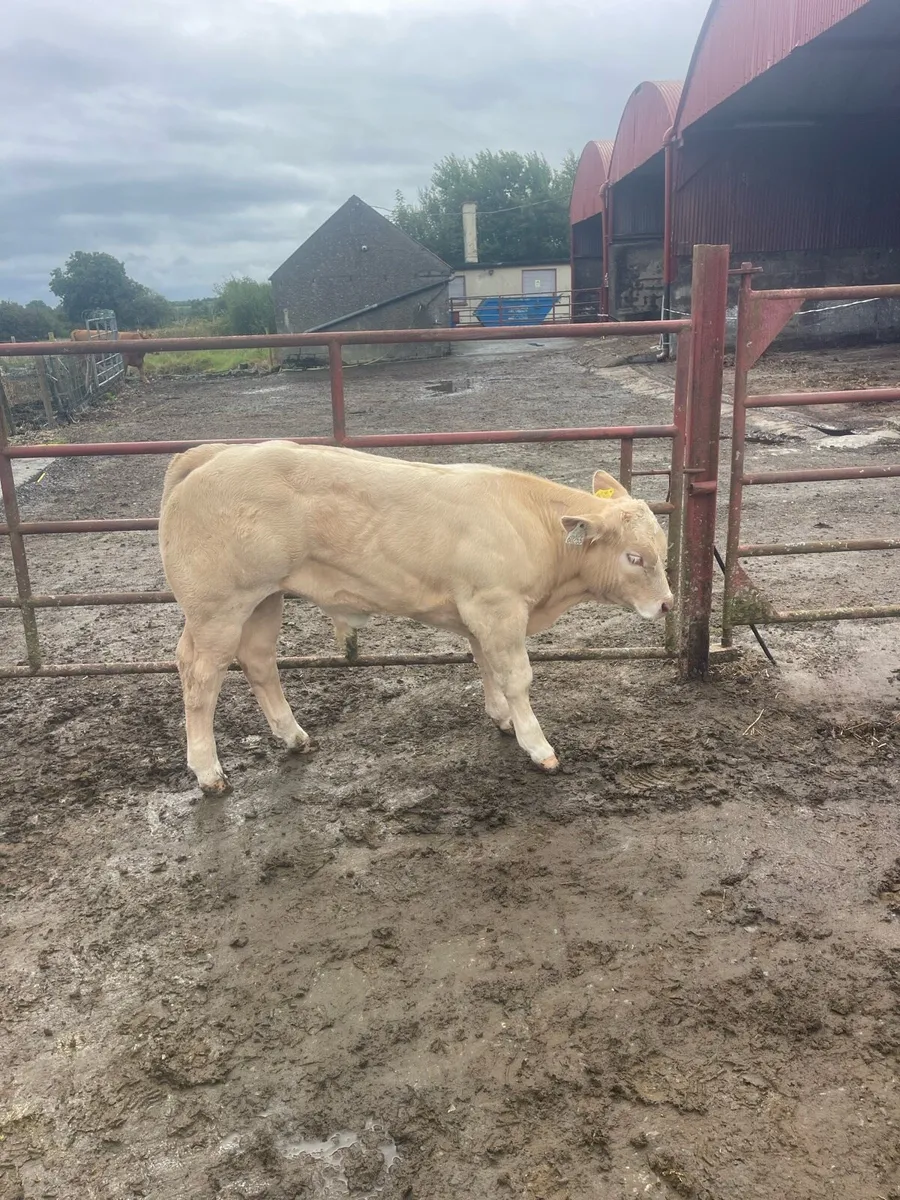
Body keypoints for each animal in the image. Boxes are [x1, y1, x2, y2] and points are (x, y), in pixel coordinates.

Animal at [158, 442, 674, 794]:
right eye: (634, 557)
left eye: (663, 548)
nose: (668, 603)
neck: (529, 525)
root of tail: (216, 452)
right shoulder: (498, 605)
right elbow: (516, 676)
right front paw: (537, 745)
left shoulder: (478, 612)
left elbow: (487, 667)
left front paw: (502, 718)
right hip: (218, 608)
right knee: (200, 677)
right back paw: (208, 771)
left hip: (264, 599)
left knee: (259, 662)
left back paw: (294, 736)